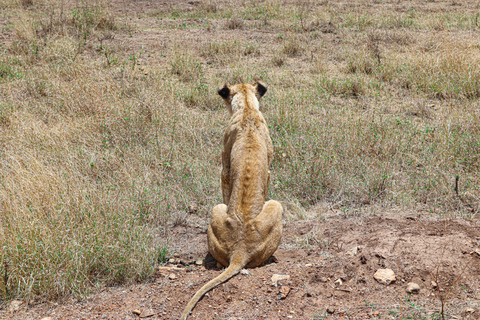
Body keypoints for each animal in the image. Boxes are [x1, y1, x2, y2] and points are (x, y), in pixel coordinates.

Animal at [181, 83, 284, 320]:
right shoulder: (240, 167)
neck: (247, 108)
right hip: (273, 204)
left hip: (219, 208)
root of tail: (240, 251)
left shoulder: (226, 167)